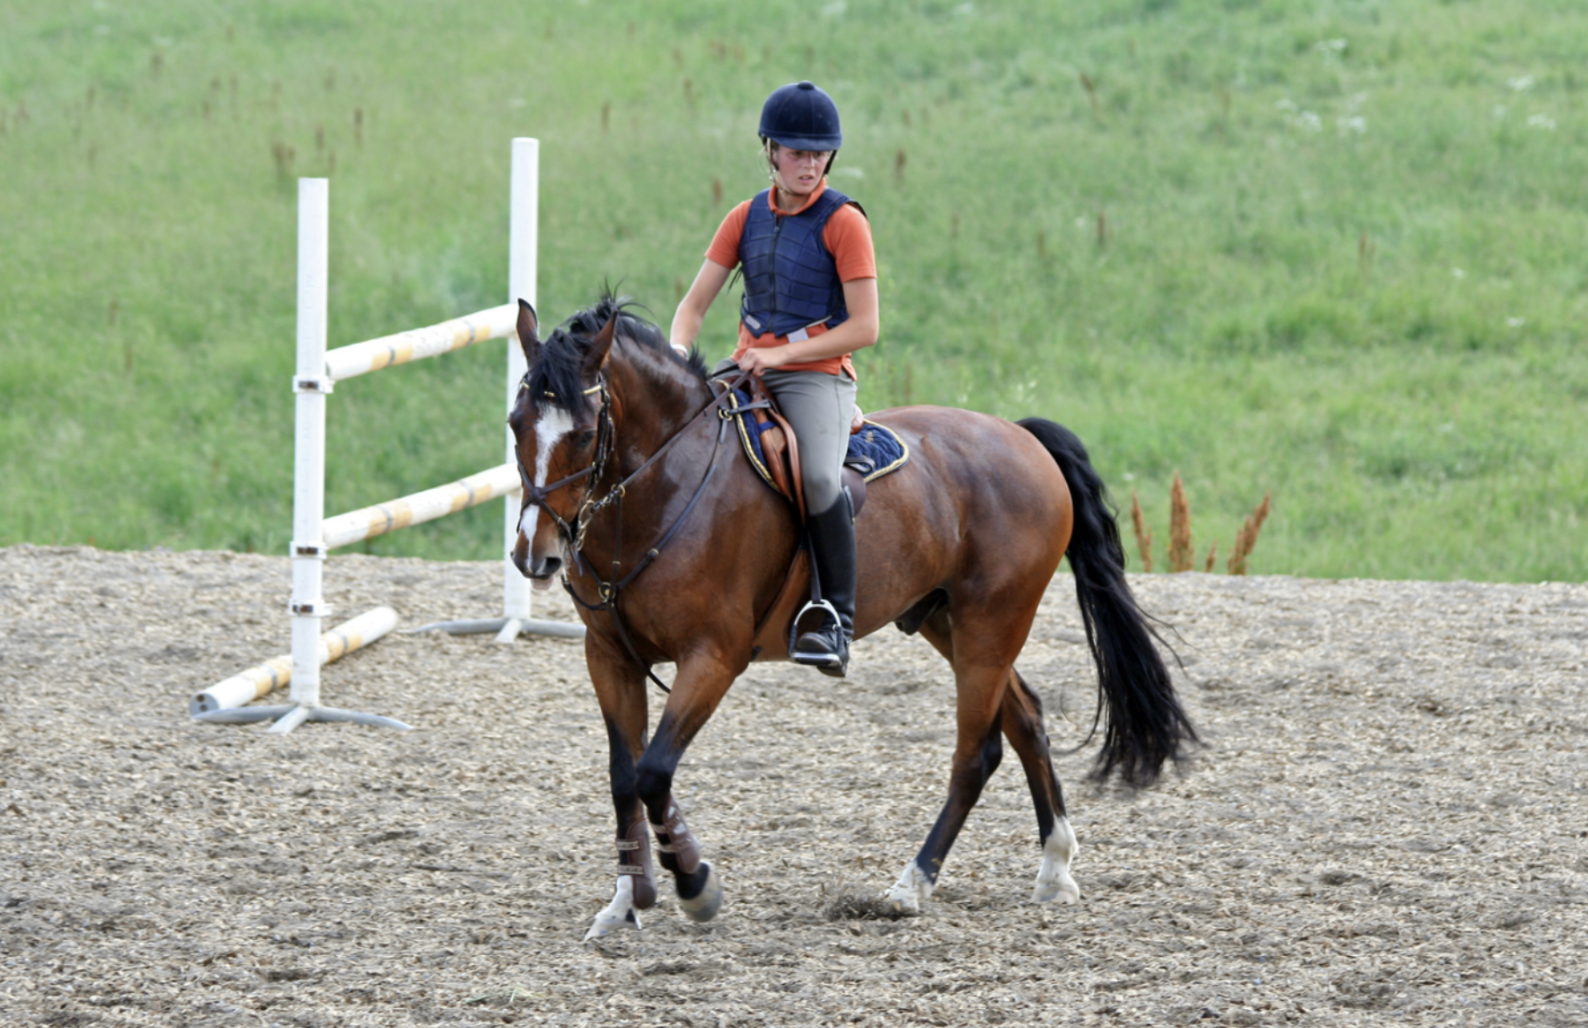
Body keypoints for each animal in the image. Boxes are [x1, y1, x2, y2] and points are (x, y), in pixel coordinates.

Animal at [507, 294, 1196, 940]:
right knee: (1026, 719)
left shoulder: (713, 657)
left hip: (992, 622)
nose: (534, 555)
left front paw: (696, 884)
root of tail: (1021, 436)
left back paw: (911, 886)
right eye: (516, 424)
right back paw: (1054, 866)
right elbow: (625, 777)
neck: (659, 490)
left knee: (976, 754)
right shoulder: (609, 656)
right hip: (948, 621)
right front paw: (626, 901)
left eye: (584, 432)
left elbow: (654, 772)